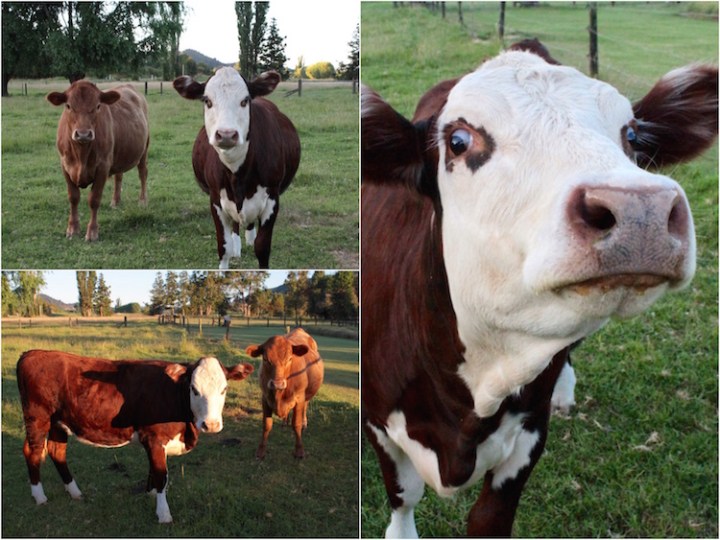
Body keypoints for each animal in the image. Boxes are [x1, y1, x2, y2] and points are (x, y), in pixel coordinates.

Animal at [16, 350, 253, 524]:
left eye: (224, 389)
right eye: (194, 389)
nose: (210, 424)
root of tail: (32, 353)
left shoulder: (154, 442)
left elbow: (155, 471)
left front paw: (151, 494)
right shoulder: (155, 438)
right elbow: (161, 474)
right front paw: (163, 513)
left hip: (59, 422)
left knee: (57, 452)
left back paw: (74, 492)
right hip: (37, 417)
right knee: (33, 452)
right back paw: (39, 496)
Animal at [46, 81, 150, 241]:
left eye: (98, 106)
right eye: (68, 106)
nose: (83, 134)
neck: (81, 155)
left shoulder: (103, 166)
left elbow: (94, 200)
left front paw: (92, 232)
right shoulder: (65, 165)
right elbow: (73, 197)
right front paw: (72, 228)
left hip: (144, 149)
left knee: (143, 173)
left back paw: (143, 201)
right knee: (119, 176)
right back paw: (115, 201)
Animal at [173, 68, 301, 269]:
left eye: (245, 100)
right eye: (207, 101)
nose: (226, 134)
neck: (237, 173)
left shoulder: (272, 199)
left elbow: (262, 248)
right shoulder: (216, 200)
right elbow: (223, 247)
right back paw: (237, 245)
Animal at [245, 328, 324, 459]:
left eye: (290, 359)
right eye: (265, 359)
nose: (277, 384)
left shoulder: (299, 398)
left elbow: (296, 424)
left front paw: (299, 451)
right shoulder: (265, 398)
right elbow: (266, 425)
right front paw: (261, 451)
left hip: (306, 396)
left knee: (305, 407)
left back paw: (304, 423)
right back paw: (284, 422)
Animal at [361, 44, 717, 537]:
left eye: (630, 135)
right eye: (458, 140)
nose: (640, 209)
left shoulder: (528, 434)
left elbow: (489, 517)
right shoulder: (377, 419)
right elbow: (403, 496)